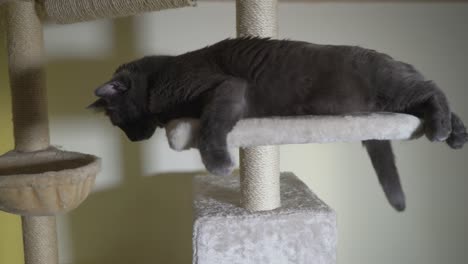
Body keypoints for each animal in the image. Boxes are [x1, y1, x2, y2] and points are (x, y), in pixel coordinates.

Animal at [89, 37, 466, 211]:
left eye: (120, 121)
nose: (133, 139)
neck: (159, 77)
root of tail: (394, 59)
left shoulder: (226, 88)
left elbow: (212, 122)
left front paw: (218, 162)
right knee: (437, 104)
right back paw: (455, 134)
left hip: (393, 89)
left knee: (434, 89)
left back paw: (442, 130)